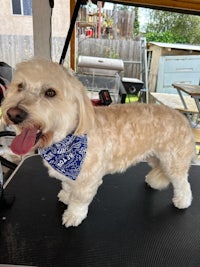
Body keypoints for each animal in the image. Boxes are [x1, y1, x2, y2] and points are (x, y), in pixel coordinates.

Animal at [1, 58, 195, 228]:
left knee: (182, 183)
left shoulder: (88, 178)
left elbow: (79, 200)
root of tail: (182, 118)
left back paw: (183, 201)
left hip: (174, 161)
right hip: (155, 156)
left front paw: (73, 215)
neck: (66, 140)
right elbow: (67, 185)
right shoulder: (71, 176)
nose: (14, 114)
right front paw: (66, 195)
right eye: (20, 86)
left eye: (50, 92)